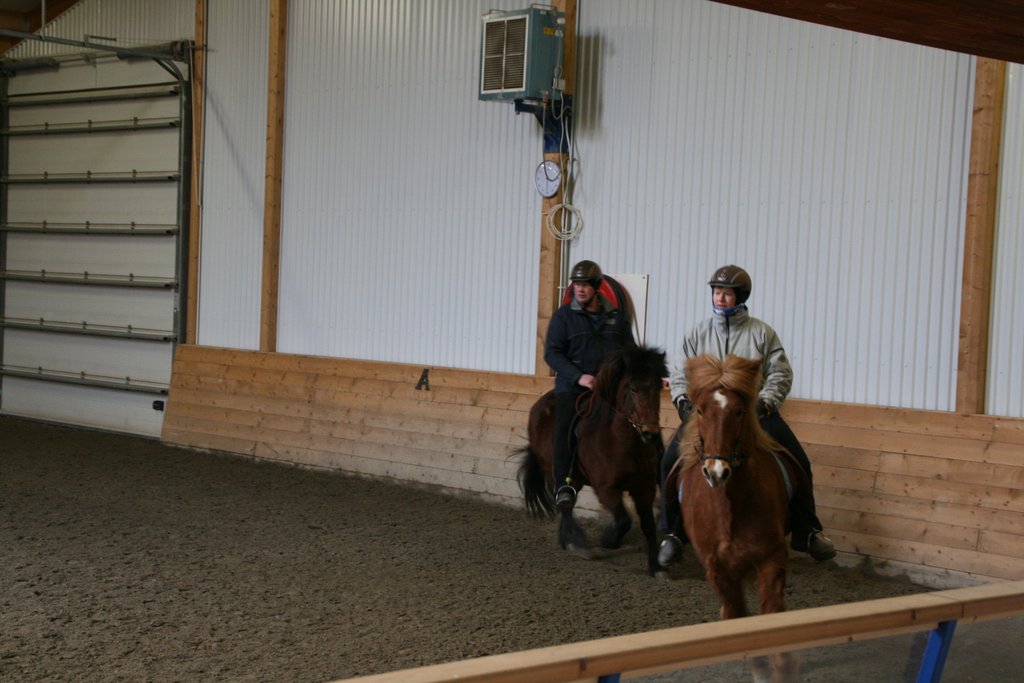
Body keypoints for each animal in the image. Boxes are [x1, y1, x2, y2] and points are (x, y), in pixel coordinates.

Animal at [516, 344, 668, 577]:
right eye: (633, 389)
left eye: (658, 387)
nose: (650, 434)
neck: (622, 443)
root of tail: (539, 406)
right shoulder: (606, 489)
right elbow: (624, 520)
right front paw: (609, 540)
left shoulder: (644, 488)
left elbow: (648, 526)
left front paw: (656, 567)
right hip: (552, 470)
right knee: (565, 503)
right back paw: (574, 542)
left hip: (576, 478)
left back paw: (566, 539)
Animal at [676, 354, 803, 681]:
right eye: (699, 410)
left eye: (739, 411)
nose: (716, 472)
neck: (730, 506)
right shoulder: (719, 570)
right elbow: (738, 620)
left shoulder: (772, 557)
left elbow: (771, 614)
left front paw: (783, 667)